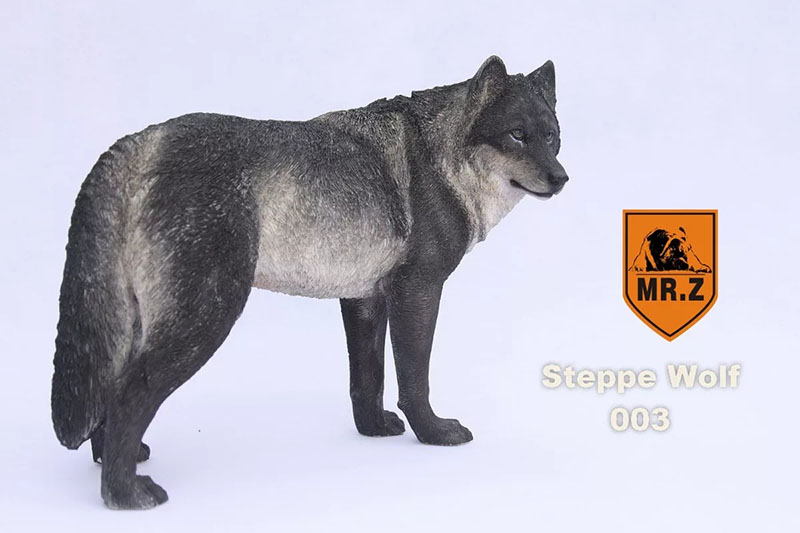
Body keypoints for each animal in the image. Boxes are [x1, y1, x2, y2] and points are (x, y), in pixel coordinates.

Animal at [51, 55, 569, 509]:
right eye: (517, 135)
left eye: (552, 137)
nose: (561, 178)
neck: (439, 156)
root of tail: (136, 145)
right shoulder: (418, 292)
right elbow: (414, 380)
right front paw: (434, 434)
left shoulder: (364, 299)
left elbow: (367, 379)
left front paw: (373, 430)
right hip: (206, 318)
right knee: (128, 394)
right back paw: (125, 495)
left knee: (110, 392)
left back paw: (115, 465)